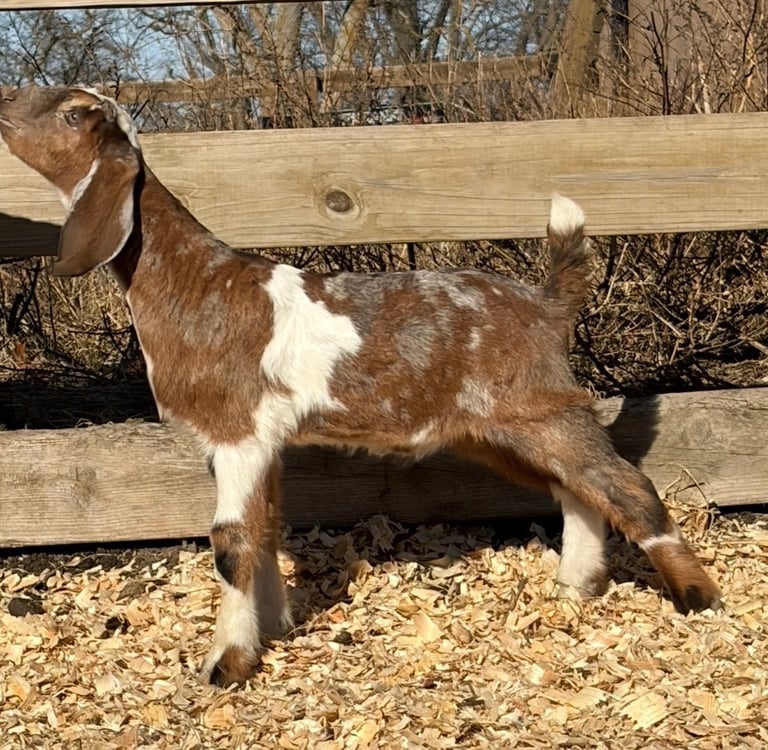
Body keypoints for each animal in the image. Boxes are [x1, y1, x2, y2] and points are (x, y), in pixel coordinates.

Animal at [0, 86, 721, 687]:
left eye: (73, 113)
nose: (5, 104)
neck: (194, 283)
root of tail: (546, 303)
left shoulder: (238, 431)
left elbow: (232, 543)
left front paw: (228, 662)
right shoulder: (256, 442)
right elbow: (266, 526)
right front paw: (276, 625)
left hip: (536, 406)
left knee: (624, 485)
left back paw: (698, 598)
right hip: (504, 426)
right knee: (576, 487)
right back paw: (575, 585)